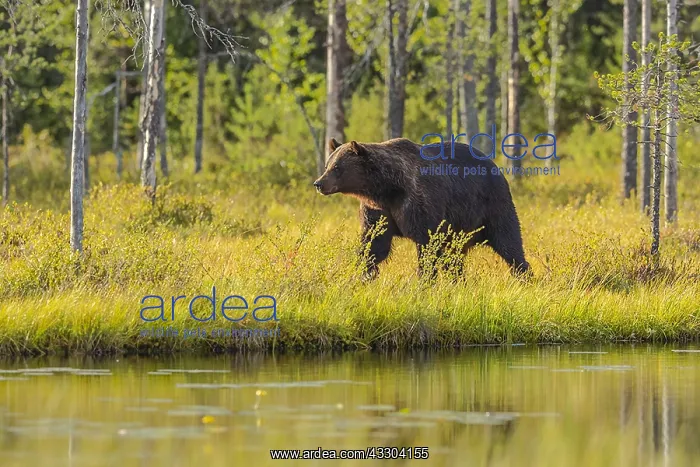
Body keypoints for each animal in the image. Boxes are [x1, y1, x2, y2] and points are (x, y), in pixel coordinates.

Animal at [313, 137, 530, 279]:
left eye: (337, 168)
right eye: (327, 165)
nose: (319, 183)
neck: (387, 189)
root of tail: (495, 166)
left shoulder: (419, 205)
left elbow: (427, 243)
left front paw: (424, 279)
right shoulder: (378, 210)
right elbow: (375, 243)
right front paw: (364, 273)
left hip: (492, 205)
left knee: (508, 241)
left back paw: (523, 275)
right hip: (459, 230)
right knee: (454, 257)